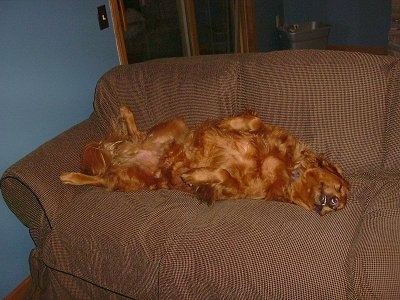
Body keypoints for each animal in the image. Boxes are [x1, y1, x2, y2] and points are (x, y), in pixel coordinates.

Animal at [60, 106, 350, 216]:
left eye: (339, 204)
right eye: (340, 187)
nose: (334, 203)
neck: (289, 170)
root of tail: (126, 153)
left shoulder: (233, 189)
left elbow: (221, 174)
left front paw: (193, 175)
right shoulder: (259, 131)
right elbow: (253, 121)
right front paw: (235, 125)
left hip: (130, 180)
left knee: (102, 179)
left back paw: (72, 177)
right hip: (176, 127)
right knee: (137, 135)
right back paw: (126, 114)